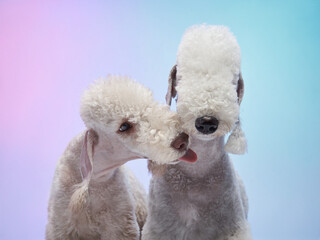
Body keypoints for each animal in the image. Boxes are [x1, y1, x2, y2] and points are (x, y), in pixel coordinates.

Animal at [46, 76, 196, 240]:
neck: (95, 183)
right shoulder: (61, 227)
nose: (182, 140)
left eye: (151, 103)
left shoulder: (120, 225)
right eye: (124, 127)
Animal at [142, 24, 252, 240]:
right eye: (183, 76)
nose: (207, 122)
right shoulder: (158, 227)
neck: (197, 172)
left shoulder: (234, 226)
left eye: (232, 80)